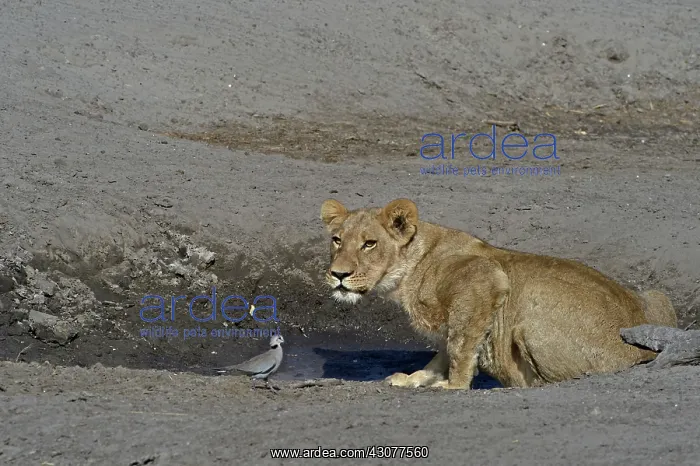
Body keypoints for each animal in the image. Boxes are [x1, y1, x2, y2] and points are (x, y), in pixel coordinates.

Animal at [319, 198, 678, 389]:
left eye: (369, 243)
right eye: (337, 240)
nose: (339, 274)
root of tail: (640, 354)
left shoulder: (484, 279)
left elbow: (461, 345)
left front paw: (453, 385)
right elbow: (442, 352)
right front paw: (414, 378)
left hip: (531, 321)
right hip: (658, 295)